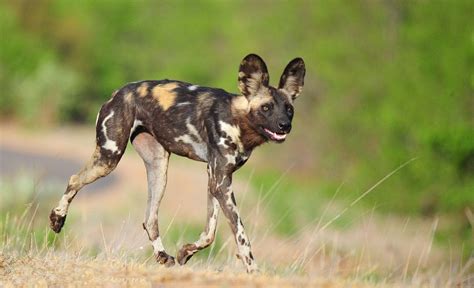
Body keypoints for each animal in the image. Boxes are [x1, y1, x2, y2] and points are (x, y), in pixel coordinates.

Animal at [50, 54, 306, 272]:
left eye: (289, 109)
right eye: (266, 108)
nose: (285, 125)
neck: (238, 121)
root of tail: (119, 91)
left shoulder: (216, 179)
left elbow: (209, 233)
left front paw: (185, 252)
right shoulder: (220, 182)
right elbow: (241, 235)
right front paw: (253, 270)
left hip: (159, 168)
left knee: (150, 219)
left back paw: (163, 256)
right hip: (109, 157)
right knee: (74, 179)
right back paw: (57, 219)